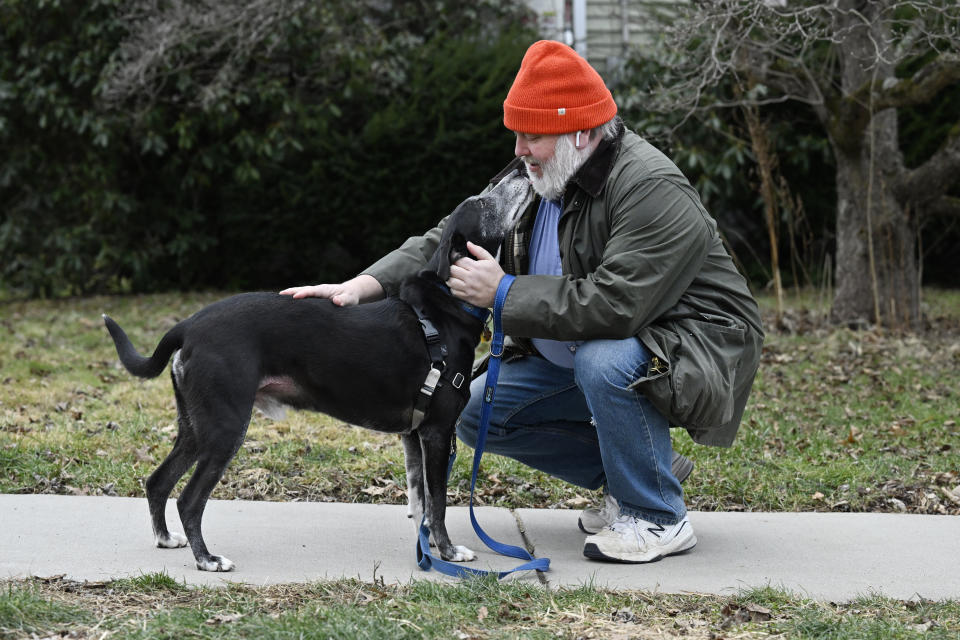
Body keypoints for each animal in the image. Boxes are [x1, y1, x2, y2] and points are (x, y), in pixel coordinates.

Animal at [105, 170, 532, 568]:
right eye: (483, 202)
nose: (519, 171)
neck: (443, 309)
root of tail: (189, 325)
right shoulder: (437, 432)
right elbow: (439, 502)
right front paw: (447, 552)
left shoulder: (413, 436)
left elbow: (421, 503)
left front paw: (426, 549)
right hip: (225, 426)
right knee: (189, 499)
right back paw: (207, 559)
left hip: (195, 424)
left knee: (157, 481)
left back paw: (165, 539)